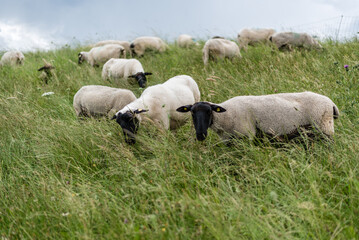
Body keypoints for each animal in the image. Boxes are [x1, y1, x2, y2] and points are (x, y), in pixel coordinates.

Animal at [177, 91, 340, 141]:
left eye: (209, 112)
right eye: (192, 112)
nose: (200, 135)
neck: (226, 116)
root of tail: (331, 103)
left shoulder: (247, 136)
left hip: (324, 128)